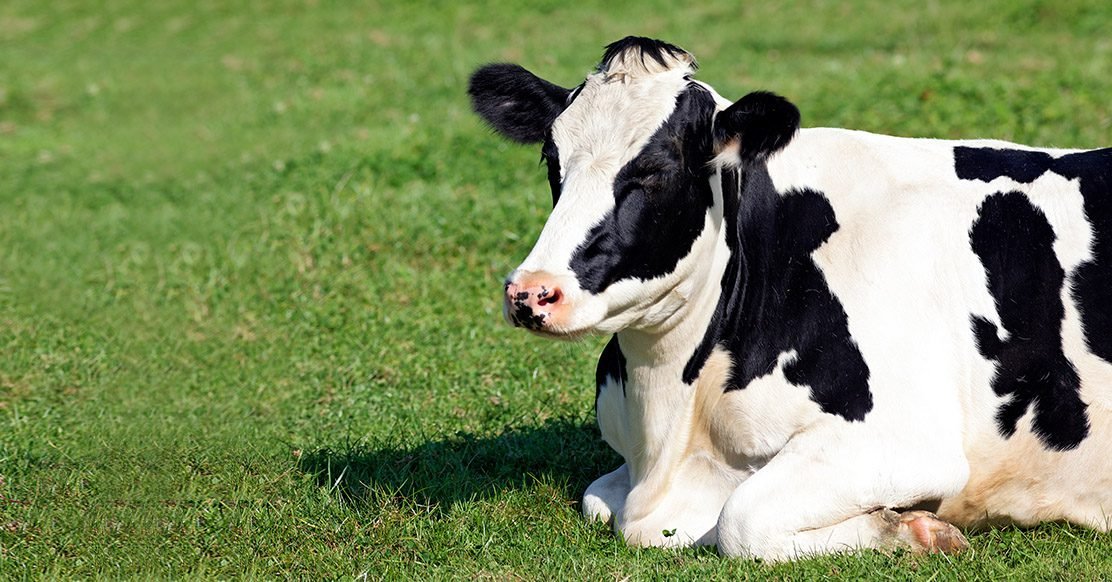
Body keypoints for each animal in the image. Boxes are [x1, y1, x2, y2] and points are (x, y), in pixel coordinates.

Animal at [468, 36, 1112, 561]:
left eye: (655, 172)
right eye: (552, 159)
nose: (531, 292)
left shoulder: (904, 442)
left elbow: (742, 521)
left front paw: (913, 531)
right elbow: (597, 498)